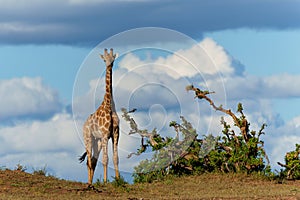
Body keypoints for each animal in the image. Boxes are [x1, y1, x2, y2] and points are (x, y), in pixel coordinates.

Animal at [79, 48, 120, 184]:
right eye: (104, 59)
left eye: (113, 59)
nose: (109, 65)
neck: (109, 106)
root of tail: (84, 125)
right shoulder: (105, 135)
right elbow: (106, 159)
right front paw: (106, 181)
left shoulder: (115, 134)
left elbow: (115, 157)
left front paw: (118, 180)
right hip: (88, 138)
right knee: (89, 160)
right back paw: (89, 183)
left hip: (96, 141)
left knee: (93, 160)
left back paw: (91, 182)